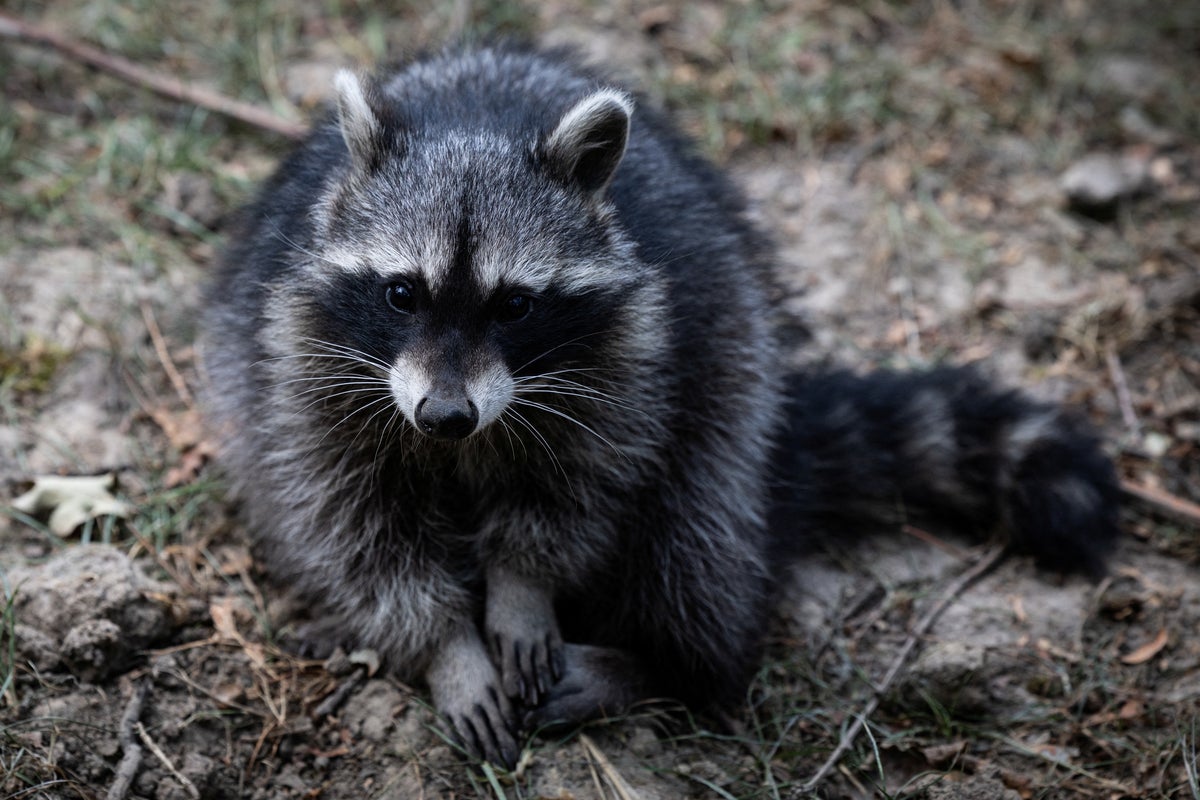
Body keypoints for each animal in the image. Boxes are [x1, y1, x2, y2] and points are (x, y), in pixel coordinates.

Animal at [202, 44, 1119, 766]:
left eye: (515, 306)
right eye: (402, 293)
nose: (447, 418)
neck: (473, 123)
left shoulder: (631, 361)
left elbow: (578, 488)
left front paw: (523, 586)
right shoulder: (302, 365)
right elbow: (354, 524)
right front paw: (447, 648)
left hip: (731, 398)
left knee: (697, 537)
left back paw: (661, 667)